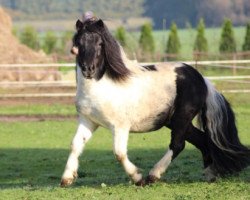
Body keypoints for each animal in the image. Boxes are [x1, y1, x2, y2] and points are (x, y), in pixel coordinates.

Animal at [60, 16, 250, 187]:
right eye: (78, 44)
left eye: (100, 44)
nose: (88, 69)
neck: (103, 86)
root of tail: (202, 79)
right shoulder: (88, 121)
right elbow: (75, 145)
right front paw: (66, 179)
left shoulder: (120, 126)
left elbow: (119, 153)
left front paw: (138, 178)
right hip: (175, 121)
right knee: (202, 140)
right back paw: (210, 175)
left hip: (182, 118)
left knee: (178, 144)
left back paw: (153, 175)